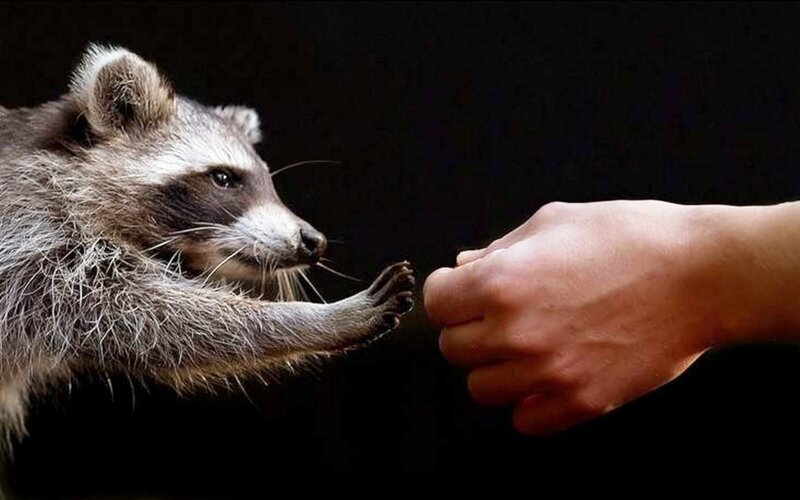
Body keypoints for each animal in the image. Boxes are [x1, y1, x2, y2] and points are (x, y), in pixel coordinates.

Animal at [0, 45, 414, 439]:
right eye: (224, 178)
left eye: (269, 181)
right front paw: (316, 318)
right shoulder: (32, 240)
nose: (313, 241)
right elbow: (152, 318)